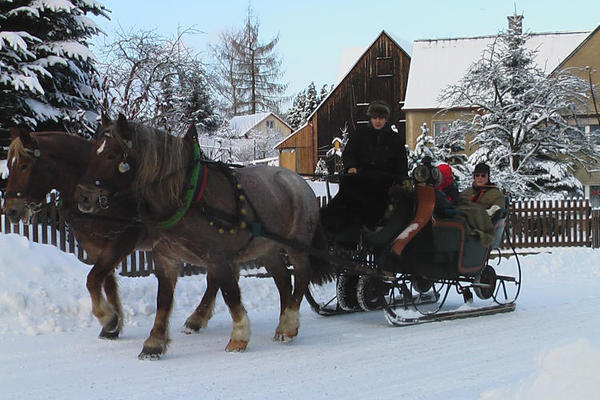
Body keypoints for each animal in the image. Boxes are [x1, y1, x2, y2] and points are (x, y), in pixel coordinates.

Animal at [75, 113, 336, 360]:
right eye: (94, 150)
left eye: (111, 155)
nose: (83, 198)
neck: (186, 195)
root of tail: (299, 181)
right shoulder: (166, 257)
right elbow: (163, 300)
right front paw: (154, 342)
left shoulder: (218, 257)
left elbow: (230, 293)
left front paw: (239, 336)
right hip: (267, 248)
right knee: (283, 280)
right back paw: (283, 326)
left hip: (297, 246)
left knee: (301, 276)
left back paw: (289, 323)